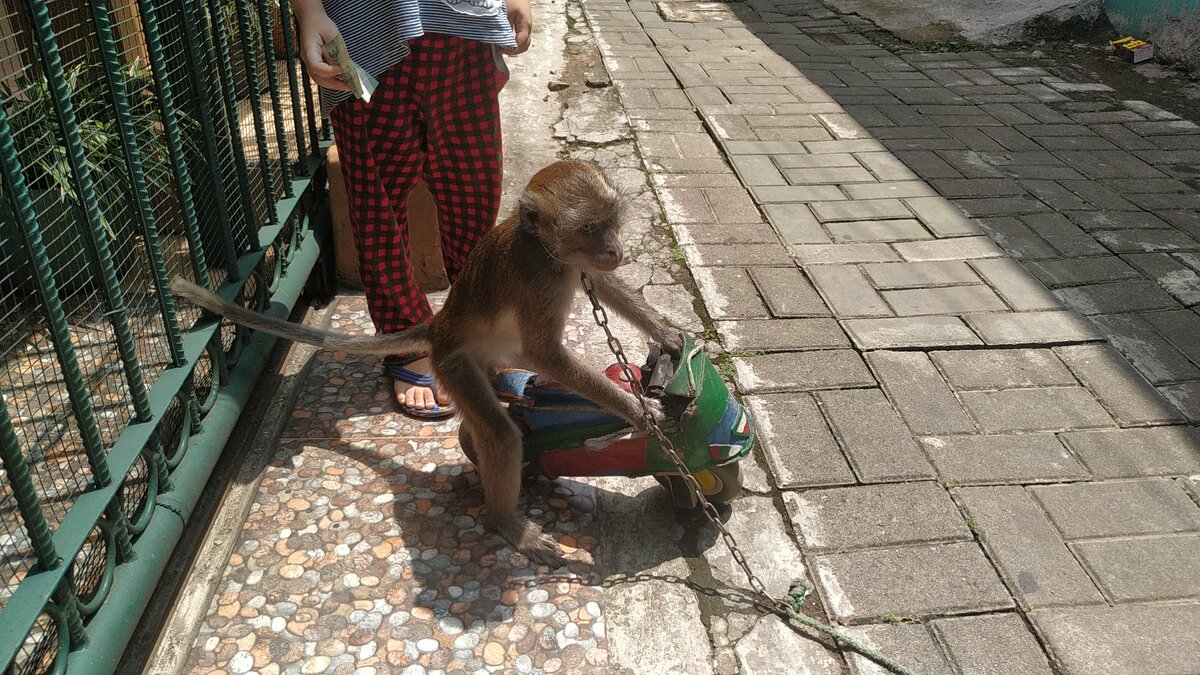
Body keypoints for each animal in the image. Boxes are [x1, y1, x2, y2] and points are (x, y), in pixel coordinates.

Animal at [175, 159, 686, 564]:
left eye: (611, 222)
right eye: (588, 229)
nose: (615, 249)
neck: (541, 246)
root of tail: (440, 327)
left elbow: (604, 287)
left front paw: (667, 334)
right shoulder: (539, 275)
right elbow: (546, 353)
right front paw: (637, 409)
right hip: (452, 363)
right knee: (499, 433)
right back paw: (508, 523)